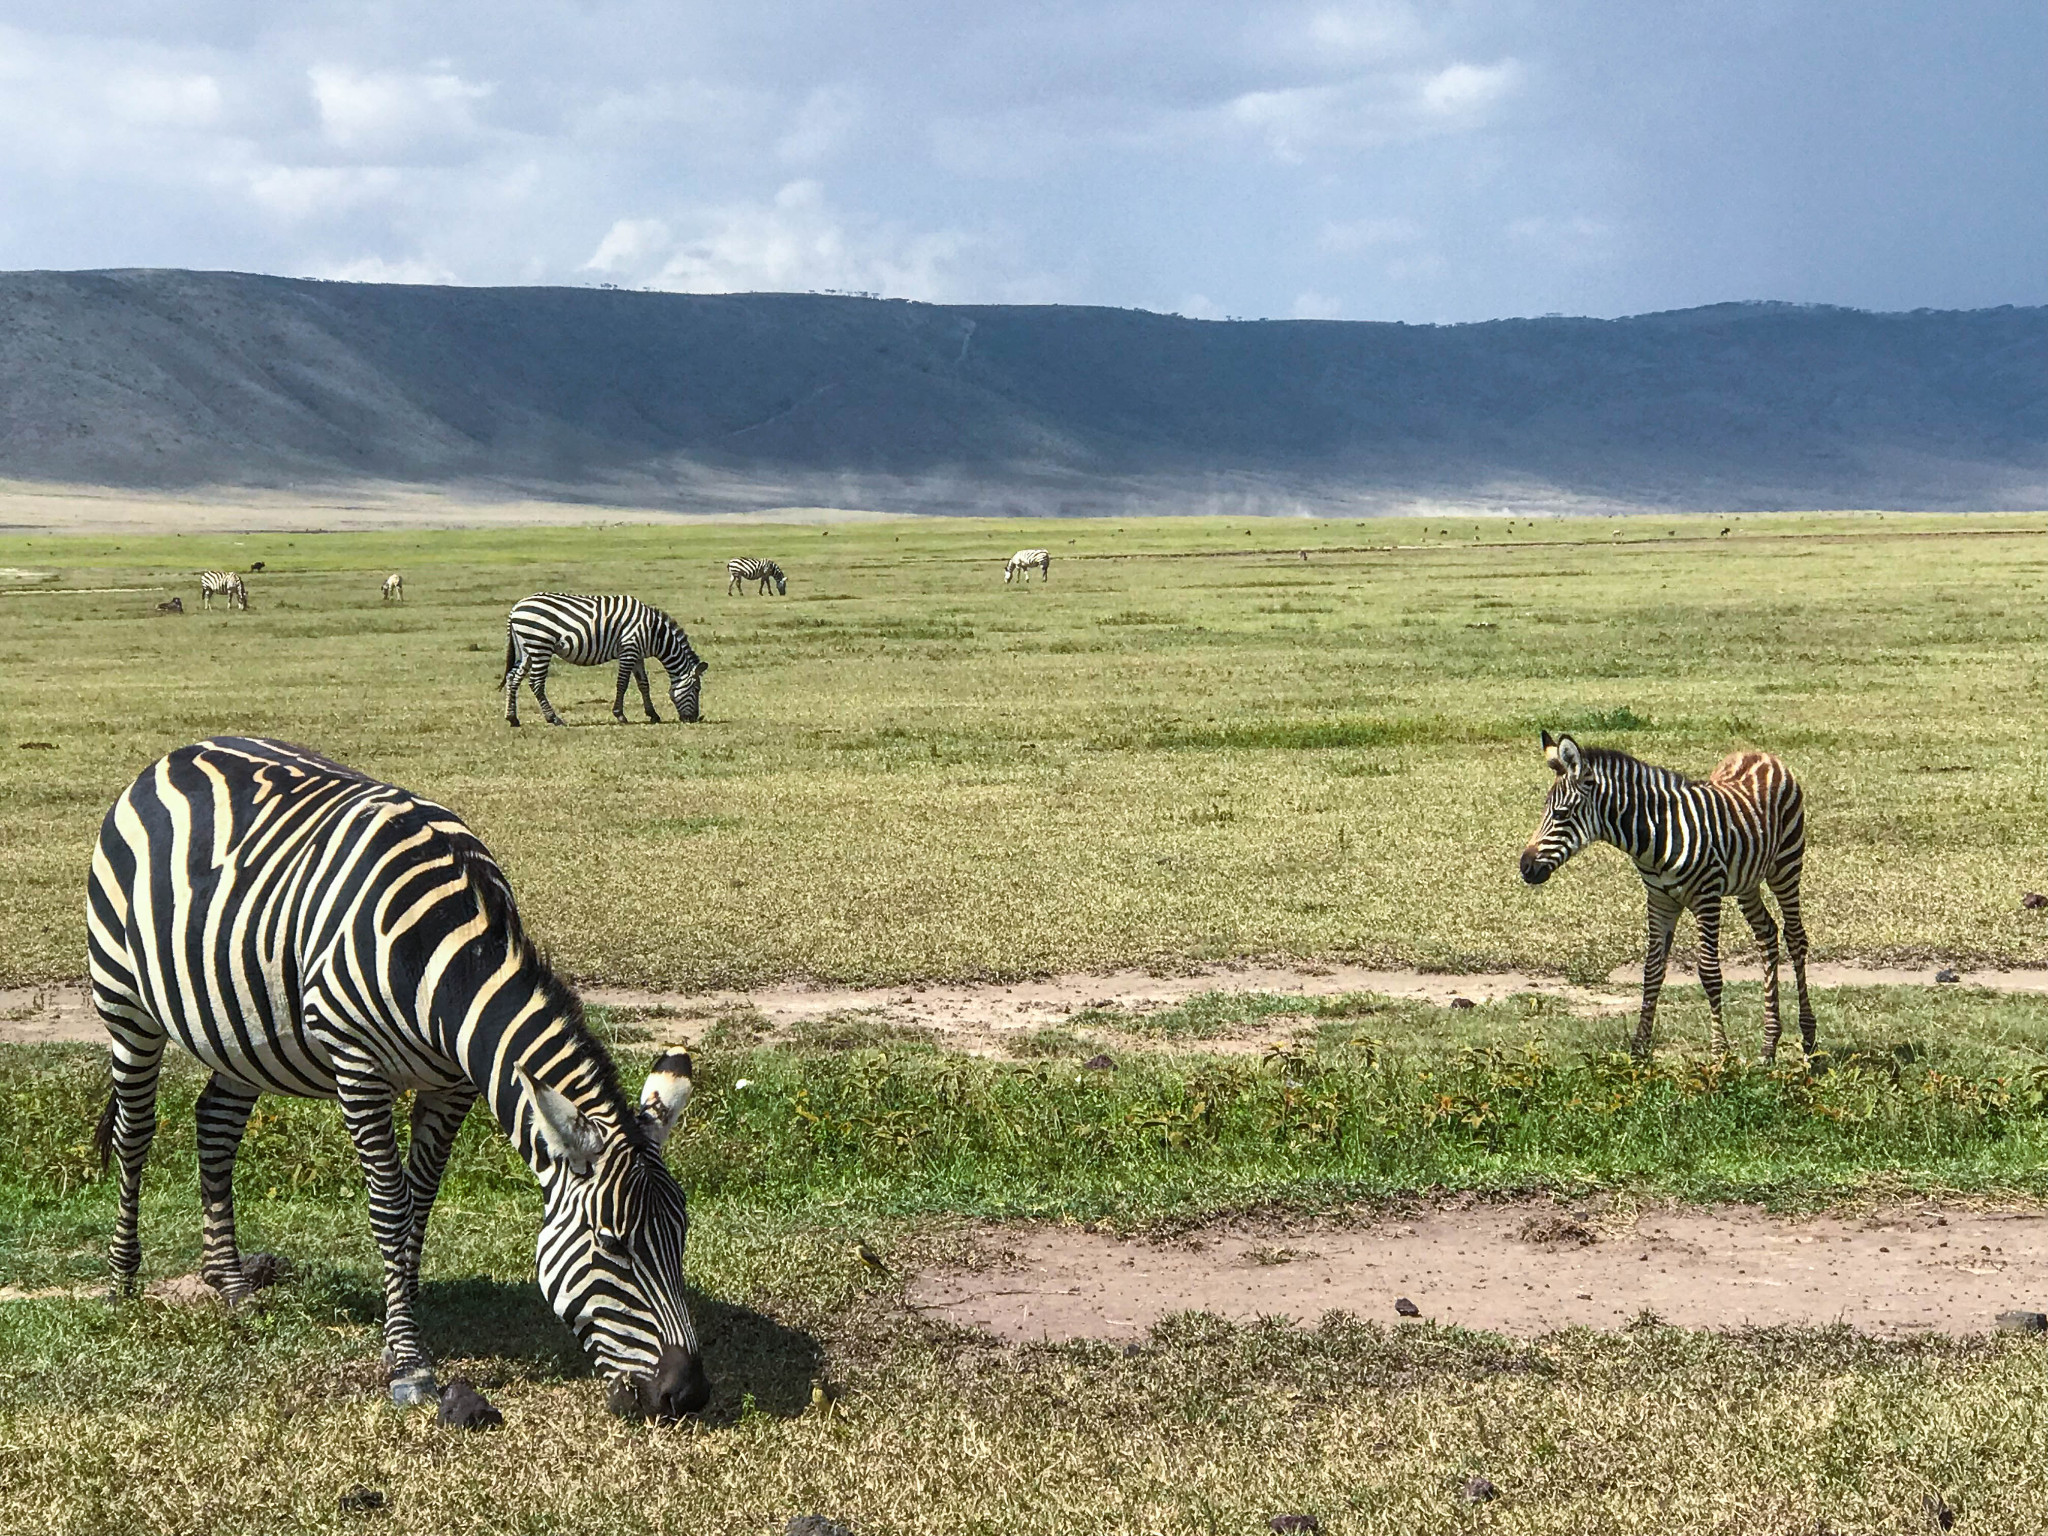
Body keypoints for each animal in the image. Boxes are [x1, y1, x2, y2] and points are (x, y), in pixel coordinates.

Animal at [90, 741, 712, 1425]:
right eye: (612, 1247)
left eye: (681, 1239)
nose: (688, 1393)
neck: (448, 960)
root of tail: (175, 755)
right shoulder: (358, 1067)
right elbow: (390, 1208)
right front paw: (410, 1366)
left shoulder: (453, 1085)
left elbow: (420, 1200)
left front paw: (403, 1314)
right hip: (124, 998)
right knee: (134, 1131)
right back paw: (122, 1281)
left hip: (243, 1033)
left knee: (216, 1126)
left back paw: (228, 1281)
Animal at [499, 593, 708, 729]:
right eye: (697, 689)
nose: (695, 719)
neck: (655, 634)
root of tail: (515, 608)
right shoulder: (629, 649)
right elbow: (622, 683)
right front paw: (620, 715)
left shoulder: (638, 655)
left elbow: (643, 684)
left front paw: (653, 714)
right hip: (540, 646)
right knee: (536, 683)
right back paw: (554, 719)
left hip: (527, 649)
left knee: (513, 679)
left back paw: (512, 718)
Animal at [1515, 733, 1818, 1073]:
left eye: (1561, 814)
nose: (1525, 867)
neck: (1654, 836)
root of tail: (1760, 754)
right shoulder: (1660, 900)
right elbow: (1652, 972)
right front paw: (1639, 1050)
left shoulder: (1706, 897)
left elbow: (1710, 974)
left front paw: (1719, 1056)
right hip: (1748, 881)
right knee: (1767, 934)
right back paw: (1768, 1045)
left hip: (1786, 865)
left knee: (1795, 938)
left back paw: (1808, 1040)